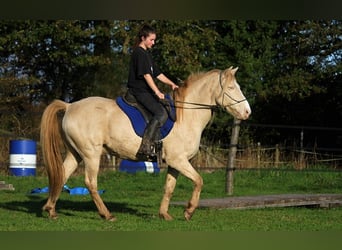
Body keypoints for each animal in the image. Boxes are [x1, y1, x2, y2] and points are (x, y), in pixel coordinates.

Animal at [40, 66, 251, 221]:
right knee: (90, 183)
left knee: (62, 175)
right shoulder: (179, 161)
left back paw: (51, 210)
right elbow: (199, 181)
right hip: (91, 154)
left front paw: (164, 214)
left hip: (75, 153)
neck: (186, 115)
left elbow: (169, 188)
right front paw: (189, 211)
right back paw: (106, 215)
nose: (248, 112)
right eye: (231, 88)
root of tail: (70, 106)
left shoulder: (175, 164)